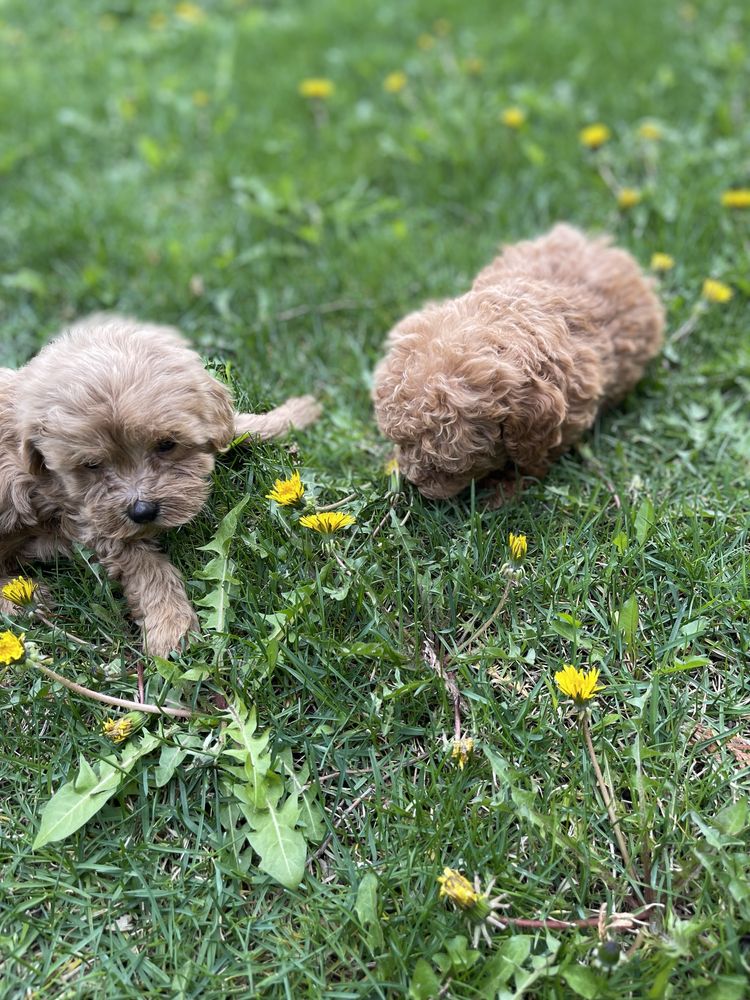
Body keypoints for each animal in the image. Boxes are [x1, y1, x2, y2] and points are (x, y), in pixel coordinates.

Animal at [0, 314, 320, 656]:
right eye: (92, 465)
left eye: (166, 444)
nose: (142, 511)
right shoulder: (94, 519)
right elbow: (146, 565)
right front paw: (171, 625)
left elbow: (239, 425)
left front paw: (296, 413)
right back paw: (19, 599)